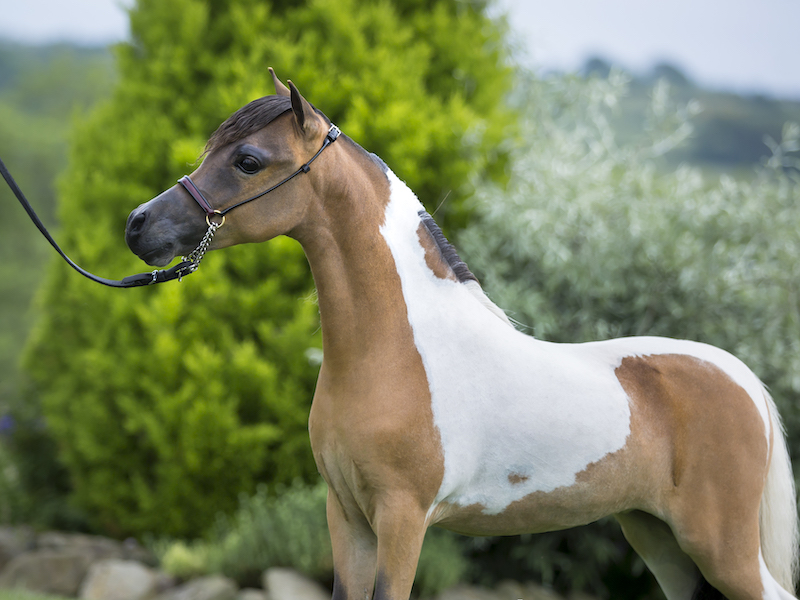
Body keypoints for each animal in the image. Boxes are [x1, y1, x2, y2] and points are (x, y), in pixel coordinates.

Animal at [124, 71, 800, 600]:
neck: (396, 351)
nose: (138, 226)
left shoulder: (402, 518)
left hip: (721, 548)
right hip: (659, 538)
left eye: (248, 161)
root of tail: (742, 380)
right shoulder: (347, 517)